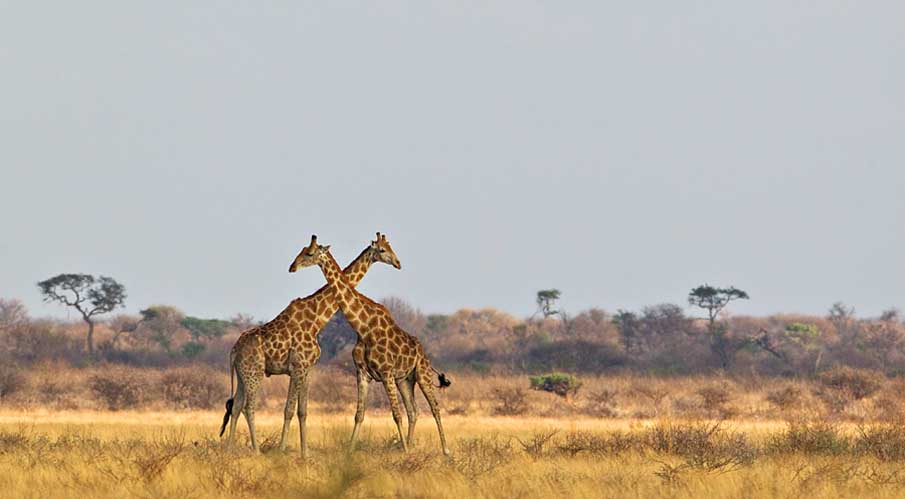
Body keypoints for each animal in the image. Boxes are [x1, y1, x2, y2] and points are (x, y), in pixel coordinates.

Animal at [219, 232, 400, 456]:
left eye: (309, 252)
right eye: (382, 250)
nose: (292, 266)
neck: (317, 319)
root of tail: (233, 351)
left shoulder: (307, 369)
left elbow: (302, 411)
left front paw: (304, 453)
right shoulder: (297, 367)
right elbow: (288, 410)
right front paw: (281, 450)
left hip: (243, 375)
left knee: (235, 406)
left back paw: (229, 449)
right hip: (255, 372)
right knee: (248, 407)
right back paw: (256, 451)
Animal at [288, 234, 450, 458]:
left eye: (310, 253)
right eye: (303, 251)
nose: (292, 267)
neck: (363, 327)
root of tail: (423, 352)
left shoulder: (386, 372)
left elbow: (395, 414)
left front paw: (404, 452)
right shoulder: (363, 373)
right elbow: (359, 414)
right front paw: (350, 451)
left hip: (422, 374)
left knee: (434, 407)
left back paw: (445, 450)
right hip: (405, 379)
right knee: (413, 410)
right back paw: (409, 445)